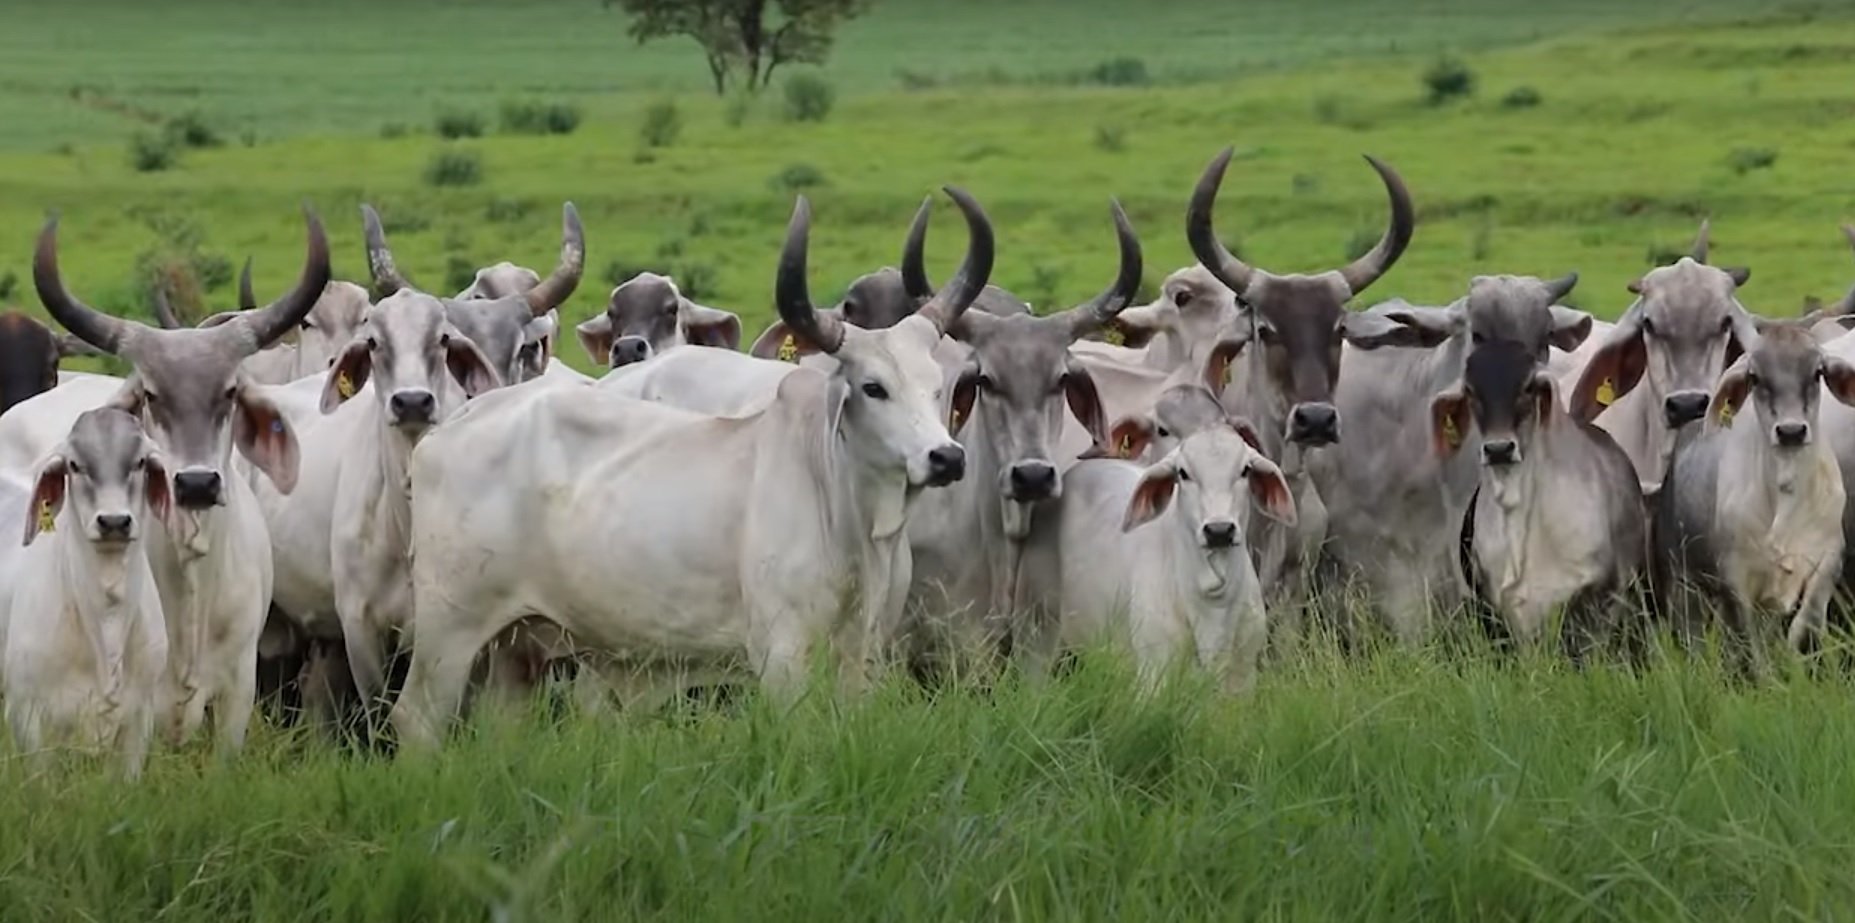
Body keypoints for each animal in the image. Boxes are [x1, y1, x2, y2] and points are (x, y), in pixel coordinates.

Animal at [1038, 396, 1298, 693]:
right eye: (1183, 473)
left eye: (1245, 470)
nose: (1219, 530)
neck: (1212, 607)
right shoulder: (1154, 674)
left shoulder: (1242, 678)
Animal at [1654, 320, 1855, 674]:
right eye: (1756, 377)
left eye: (1817, 372)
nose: (1791, 431)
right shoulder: (1735, 578)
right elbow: (1752, 646)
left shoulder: (1829, 557)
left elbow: (1804, 623)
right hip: (1682, 578)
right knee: (1694, 634)